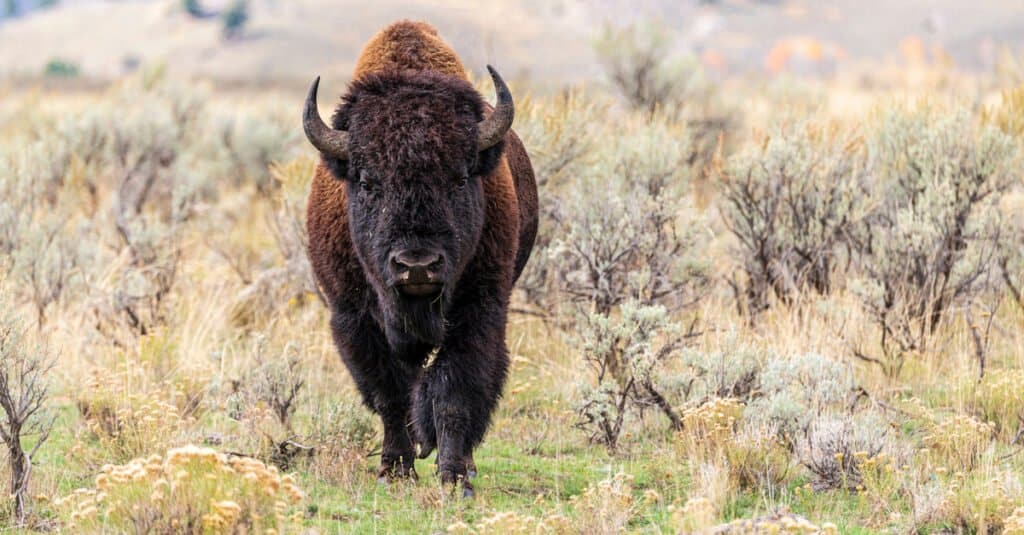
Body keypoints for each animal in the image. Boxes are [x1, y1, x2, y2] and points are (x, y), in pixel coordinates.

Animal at [301, 21, 536, 496]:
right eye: (368, 181)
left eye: (459, 178)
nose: (417, 266)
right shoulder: (353, 320)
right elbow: (389, 393)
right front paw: (395, 468)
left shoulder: (479, 313)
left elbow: (453, 390)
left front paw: (455, 477)